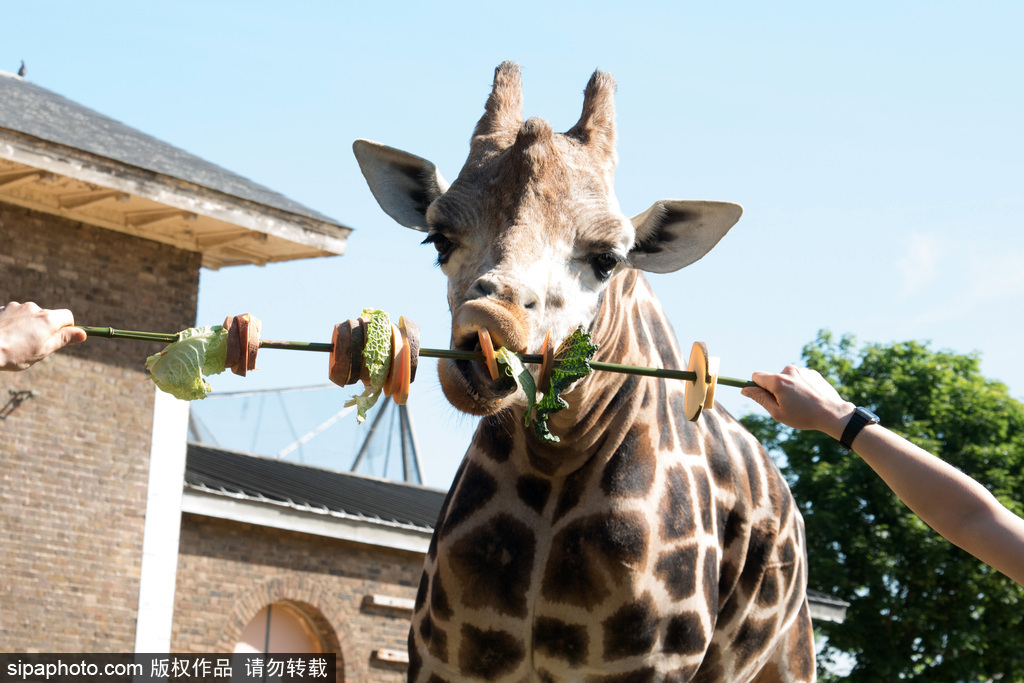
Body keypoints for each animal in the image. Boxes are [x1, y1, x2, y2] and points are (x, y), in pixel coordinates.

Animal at [352, 62, 815, 683]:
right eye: (438, 239)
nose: (489, 325)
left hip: (790, 657)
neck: (556, 461)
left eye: (607, 259)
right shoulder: (442, 659)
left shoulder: (648, 670)